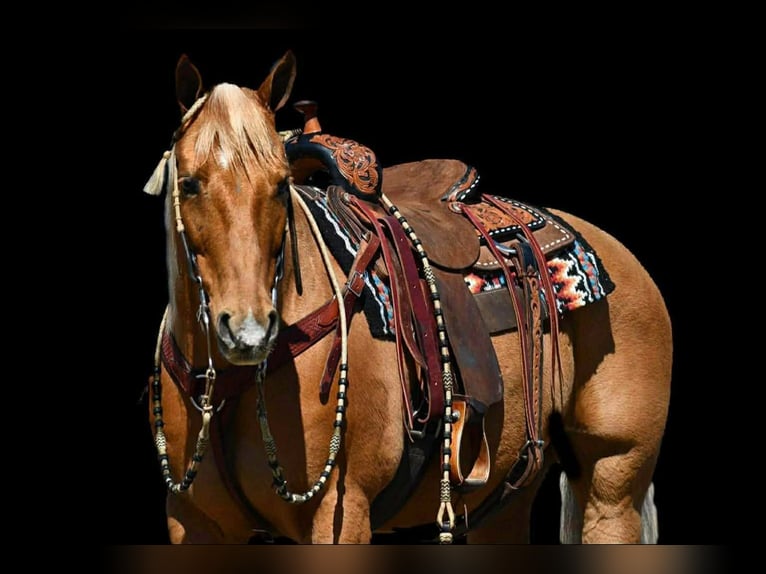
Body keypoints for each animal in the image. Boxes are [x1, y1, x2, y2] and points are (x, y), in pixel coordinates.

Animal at [143, 50, 672, 544]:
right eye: (189, 183)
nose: (249, 331)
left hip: (612, 483)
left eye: (279, 186)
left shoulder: (341, 514)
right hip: (507, 497)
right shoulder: (192, 523)